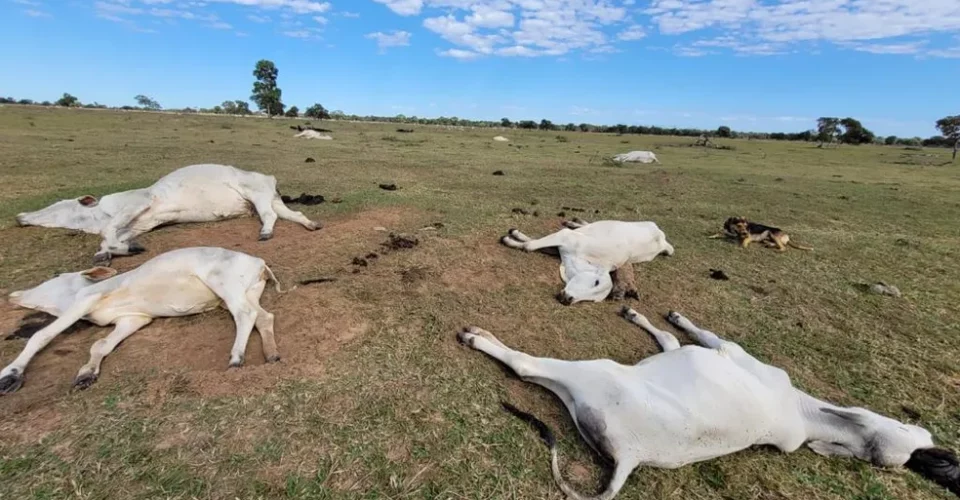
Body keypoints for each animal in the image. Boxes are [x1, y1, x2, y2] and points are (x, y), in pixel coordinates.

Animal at [0, 246, 284, 394]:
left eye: (56, 276)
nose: (13, 295)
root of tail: (259, 262)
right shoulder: (134, 319)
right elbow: (100, 345)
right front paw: (86, 374)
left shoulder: (86, 299)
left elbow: (41, 335)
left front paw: (10, 375)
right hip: (248, 292)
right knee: (263, 316)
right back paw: (271, 354)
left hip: (224, 284)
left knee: (245, 315)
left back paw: (236, 357)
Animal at [15, 164, 322, 266]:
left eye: (60, 205)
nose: (20, 216)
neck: (101, 212)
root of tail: (269, 177)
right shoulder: (139, 224)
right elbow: (111, 238)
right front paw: (110, 252)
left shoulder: (139, 202)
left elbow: (108, 232)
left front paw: (119, 249)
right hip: (269, 199)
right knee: (293, 213)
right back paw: (311, 224)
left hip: (257, 196)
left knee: (270, 216)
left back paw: (266, 232)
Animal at [458, 308, 960, 500]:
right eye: (915, 436)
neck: (804, 414)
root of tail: (631, 456)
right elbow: (667, 339)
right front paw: (642, 314)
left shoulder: (727, 350)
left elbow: (693, 335)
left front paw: (672, 315)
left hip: (592, 373)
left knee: (526, 367)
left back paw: (478, 337)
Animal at [502, 219, 676, 304]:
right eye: (596, 282)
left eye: (593, 300)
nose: (568, 299)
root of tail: (662, 240)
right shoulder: (565, 237)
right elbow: (530, 244)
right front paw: (510, 237)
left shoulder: (560, 247)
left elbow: (531, 243)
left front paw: (513, 238)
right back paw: (573, 222)